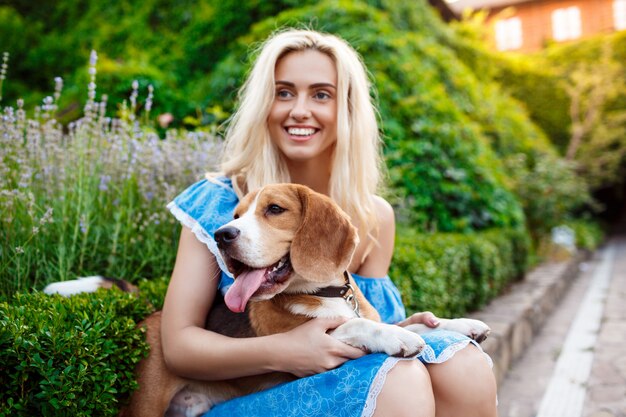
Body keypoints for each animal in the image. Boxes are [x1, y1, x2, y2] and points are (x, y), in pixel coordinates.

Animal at [46, 184, 490, 414]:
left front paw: (457, 324)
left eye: (274, 209)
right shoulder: (308, 343)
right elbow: (360, 325)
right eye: (236, 215)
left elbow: (410, 320)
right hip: (143, 406)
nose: (222, 235)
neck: (324, 291)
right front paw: (395, 338)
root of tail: (151, 315)